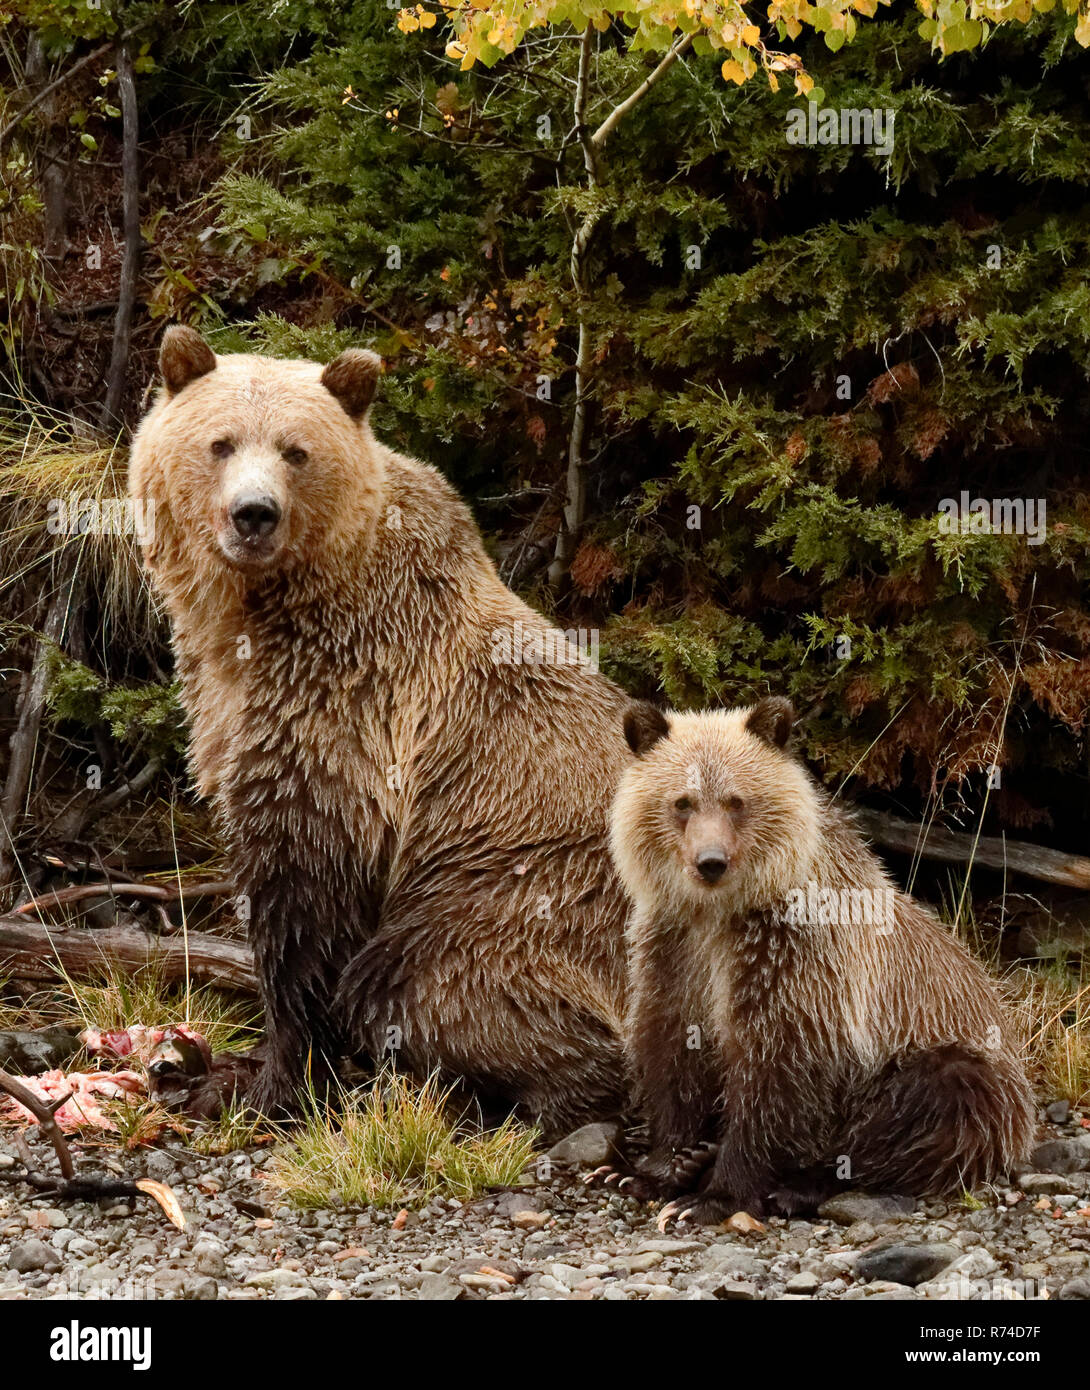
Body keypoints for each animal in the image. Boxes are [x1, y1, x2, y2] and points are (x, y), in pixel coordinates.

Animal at [129, 328, 631, 1128]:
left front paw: (265, 1081)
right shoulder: (226, 703)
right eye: (221, 442)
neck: (259, 620)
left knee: (416, 981)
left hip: (524, 892)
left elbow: (305, 903)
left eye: (296, 450)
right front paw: (210, 1066)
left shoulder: (349, 716)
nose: (253, 514)